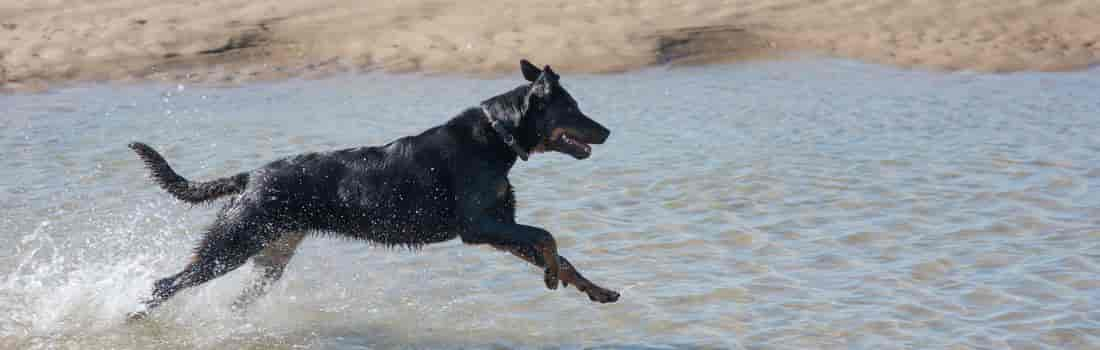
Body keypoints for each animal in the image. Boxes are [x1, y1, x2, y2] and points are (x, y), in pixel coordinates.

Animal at [126, 59, 620, 319]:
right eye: (573, 108)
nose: (609, 131)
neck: (497, 139)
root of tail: (251, 176)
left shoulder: (499, 229)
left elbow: (560, 253)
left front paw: (595, 290)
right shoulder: (479, 227)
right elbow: (547, 237)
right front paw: (551, 277)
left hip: (269, 255)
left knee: (232, 297)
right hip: (233, 243)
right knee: (168, 283)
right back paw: (134, 318)